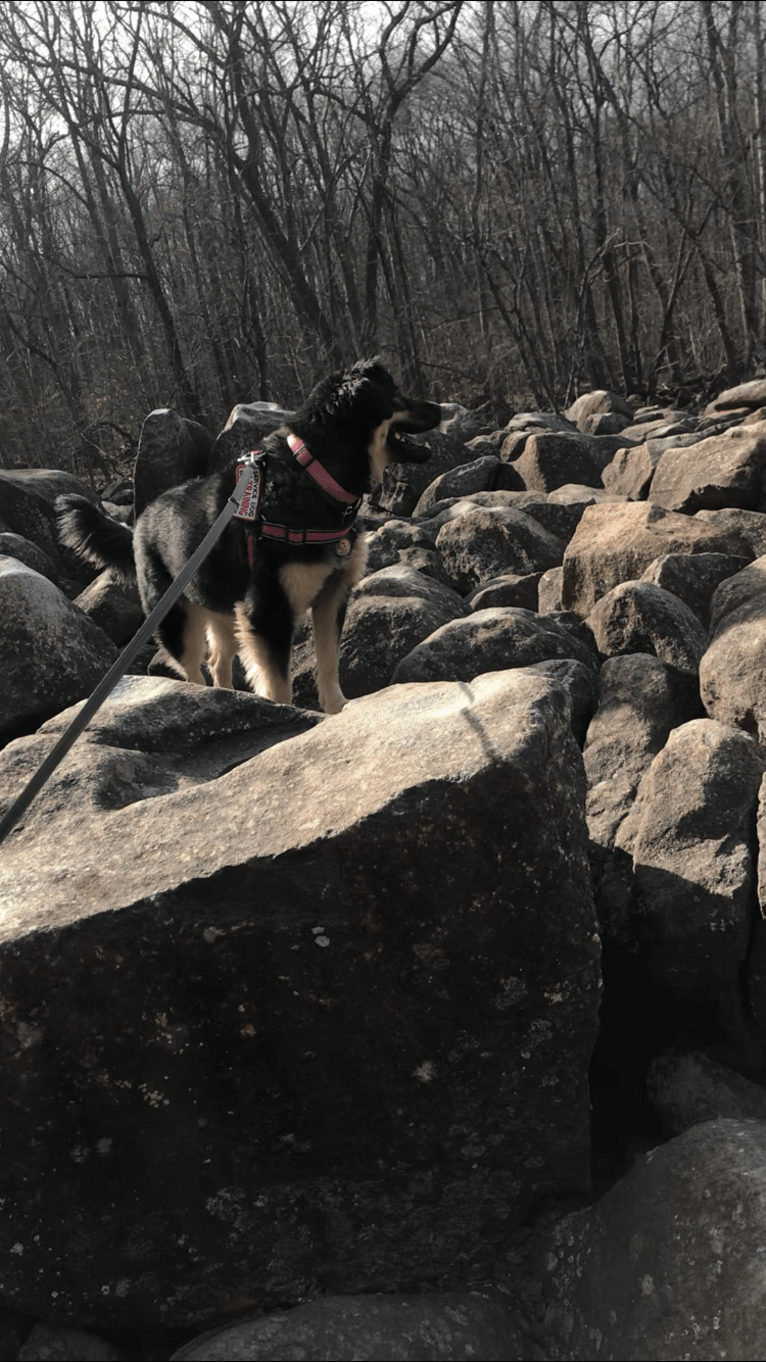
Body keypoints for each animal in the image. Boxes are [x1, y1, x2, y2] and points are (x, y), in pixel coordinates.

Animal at [57, 362, 438, 713]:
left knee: (217, 662)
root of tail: (138, 526)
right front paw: (292, 717)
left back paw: (229, 699)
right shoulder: (268, 610)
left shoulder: (331, 596)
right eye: (395, 394)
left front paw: (336, 710)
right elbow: (278, 681)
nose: (439, 407)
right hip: (177, 619)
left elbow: (329, 663)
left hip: (222, 608)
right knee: (192, 670)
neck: (313, 473)